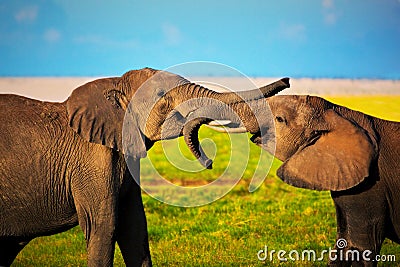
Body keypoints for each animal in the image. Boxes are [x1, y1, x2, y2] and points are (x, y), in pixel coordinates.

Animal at [0, 67, 290, 267]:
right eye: (161, 96)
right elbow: (104, 225)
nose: (288, 80)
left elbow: (135, 226)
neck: (114, 84)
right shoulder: (91, 162)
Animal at [198, 94, 398, 266]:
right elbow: (344, 244)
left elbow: (361, 246)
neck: (339, 113)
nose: (209, 163)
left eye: (279, 119)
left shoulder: (371, 184)